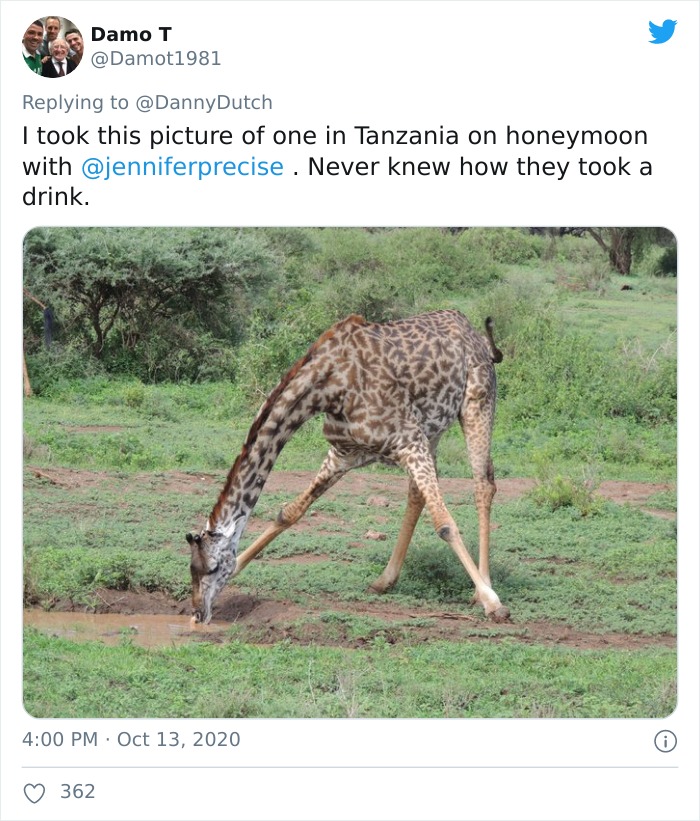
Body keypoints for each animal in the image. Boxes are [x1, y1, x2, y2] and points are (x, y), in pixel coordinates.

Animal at [186, 309, 510, 625]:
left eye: (212, 568)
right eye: (191, 568)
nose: (198, 613)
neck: (328, 386)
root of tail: (477, 335)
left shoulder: (408, 440)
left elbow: (444, 524)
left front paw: (493, 603)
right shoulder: (344, 454)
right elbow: (290, 512)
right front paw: (239, 567)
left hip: (477, 403)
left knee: (483, 484)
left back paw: (482, 588)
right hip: (433, 429)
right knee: (418, 494)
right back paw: (384, 580)